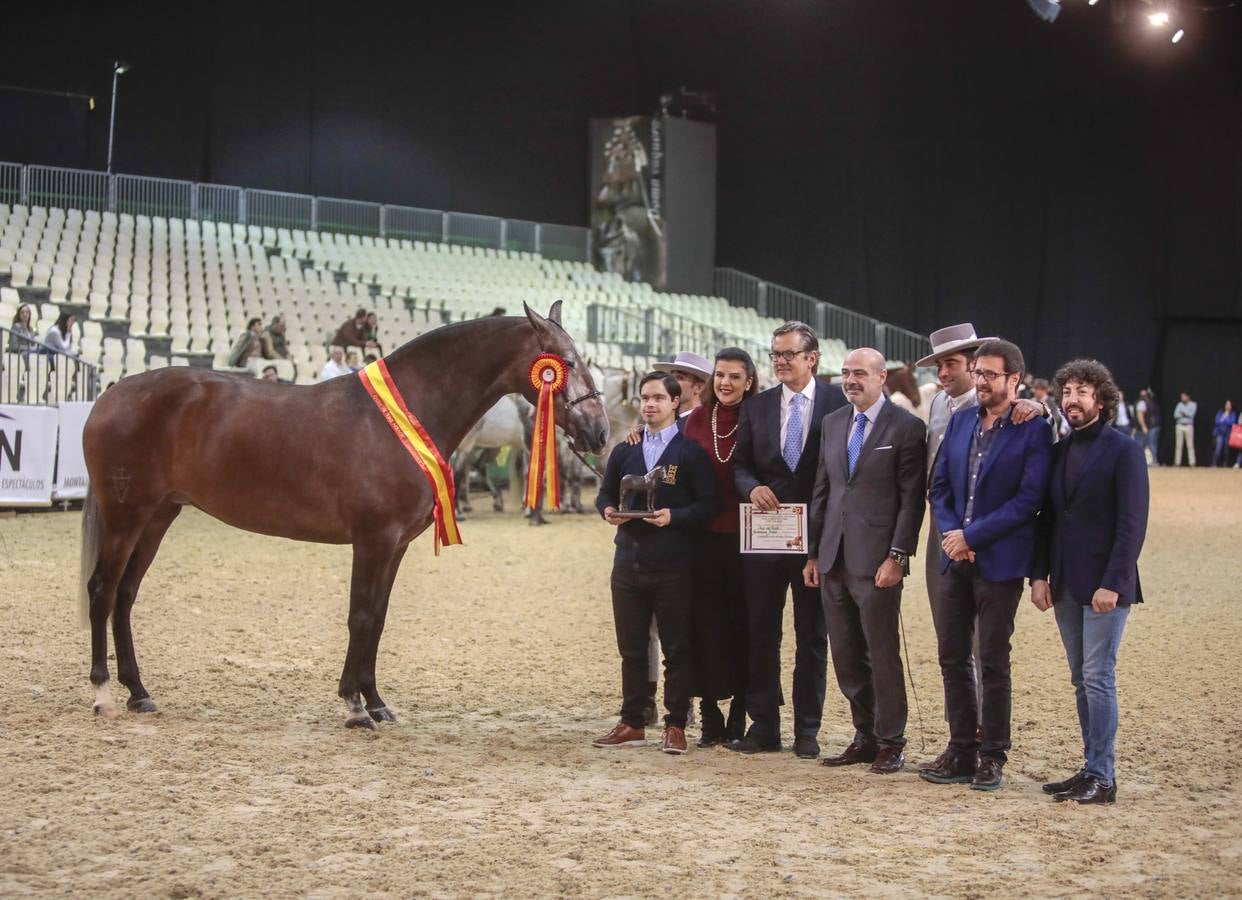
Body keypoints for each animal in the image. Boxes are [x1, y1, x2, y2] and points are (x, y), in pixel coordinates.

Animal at [80, 305, 608, 724]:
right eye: (564, 362)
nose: (599, 432)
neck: (403, 415)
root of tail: (110, 394)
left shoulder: (396, 545)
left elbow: (378, 617)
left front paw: (375, 701)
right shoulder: (373, 539)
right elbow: (360, 615)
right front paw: (354, 706)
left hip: (158, 515)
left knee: (125, 595)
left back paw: (139, 693)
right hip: (127, 516)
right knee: (103, 590)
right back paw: (103, 693)